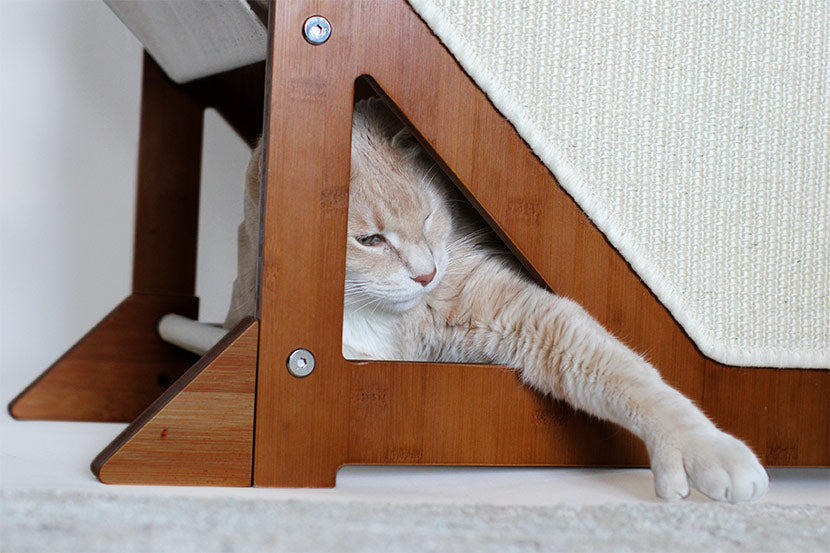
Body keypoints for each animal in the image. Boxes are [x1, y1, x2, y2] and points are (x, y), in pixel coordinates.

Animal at [166, 97, 772, 502]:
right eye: (370, 240)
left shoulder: (526, 317)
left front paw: (703, 447)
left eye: (431, 216)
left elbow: (629, 376)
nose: (427, 274)